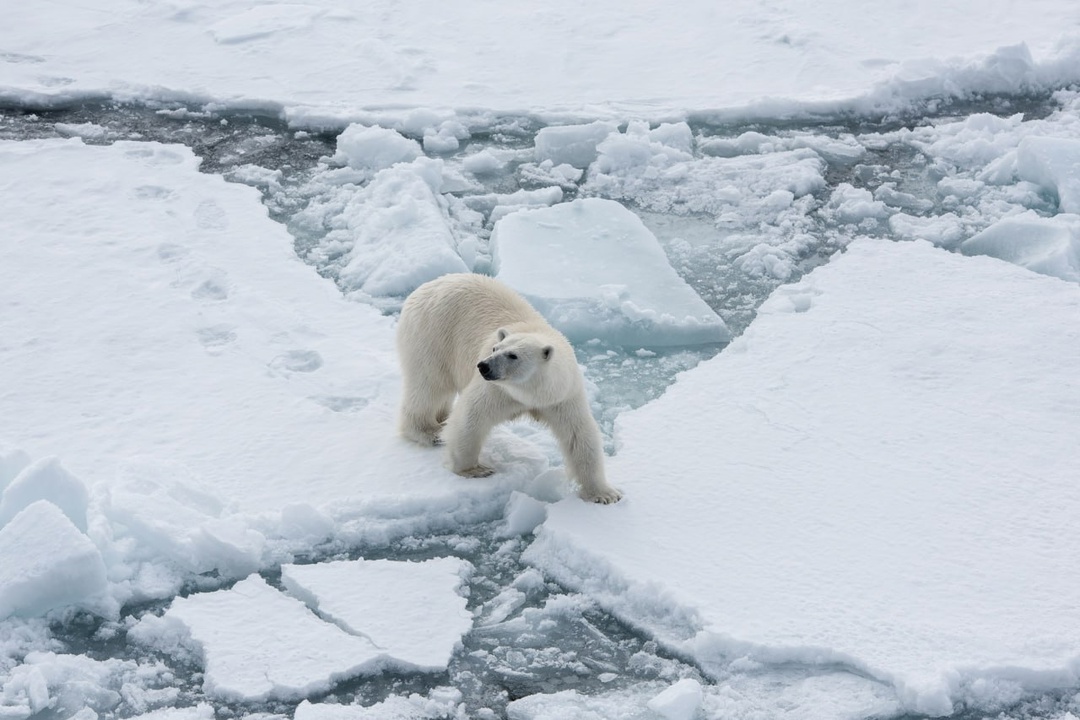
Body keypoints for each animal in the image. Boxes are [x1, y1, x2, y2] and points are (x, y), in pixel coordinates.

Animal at [397, 273, 622, 505]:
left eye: (513, 355)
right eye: (495, 348)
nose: (483, 366)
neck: (531, 392)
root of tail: (429, 284)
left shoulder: (562, 395)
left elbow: (578, 434)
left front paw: (605, 494)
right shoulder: (498, 390)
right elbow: (471, 416)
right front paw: (475, 469)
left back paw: (441, 421)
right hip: (432, 334)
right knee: (429, 385)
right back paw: (428, 432)